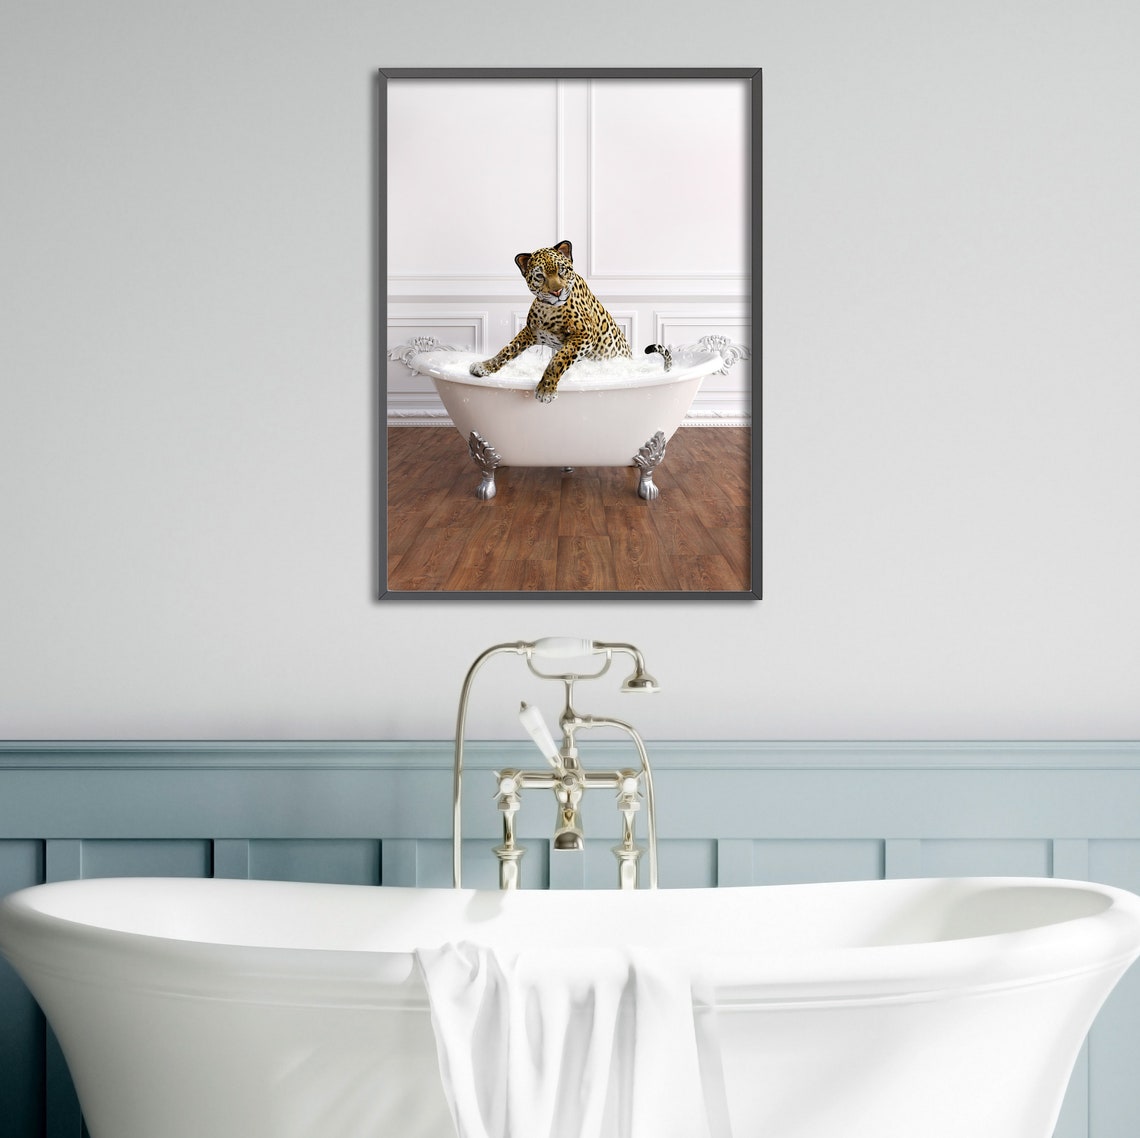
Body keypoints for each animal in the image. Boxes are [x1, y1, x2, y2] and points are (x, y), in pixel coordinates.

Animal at [470, 240, 667, 402]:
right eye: (540, 276)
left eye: (562, 270)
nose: (556, 292)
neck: (548, 309)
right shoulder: (531, 331)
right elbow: (507, 349)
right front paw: (484, 366)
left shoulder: (584, 335)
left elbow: (558, 359)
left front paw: (546, 390)